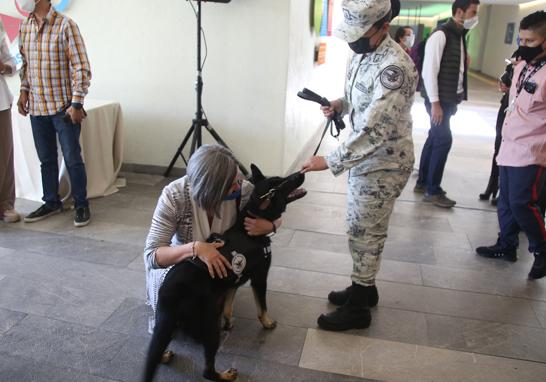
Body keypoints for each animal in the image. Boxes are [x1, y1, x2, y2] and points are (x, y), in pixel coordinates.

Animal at [142, 166, 304, 382]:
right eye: (282, 183)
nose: (302, 172)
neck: (248, 228)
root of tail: (170, 293)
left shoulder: (232, 282)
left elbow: (228, 306)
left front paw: (229, 322)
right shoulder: (260, 278)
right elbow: (262, 307)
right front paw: (268, 323)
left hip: (168, 321)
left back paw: (165, 354)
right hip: (210, 324)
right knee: (207, 370)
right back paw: (225, 374)